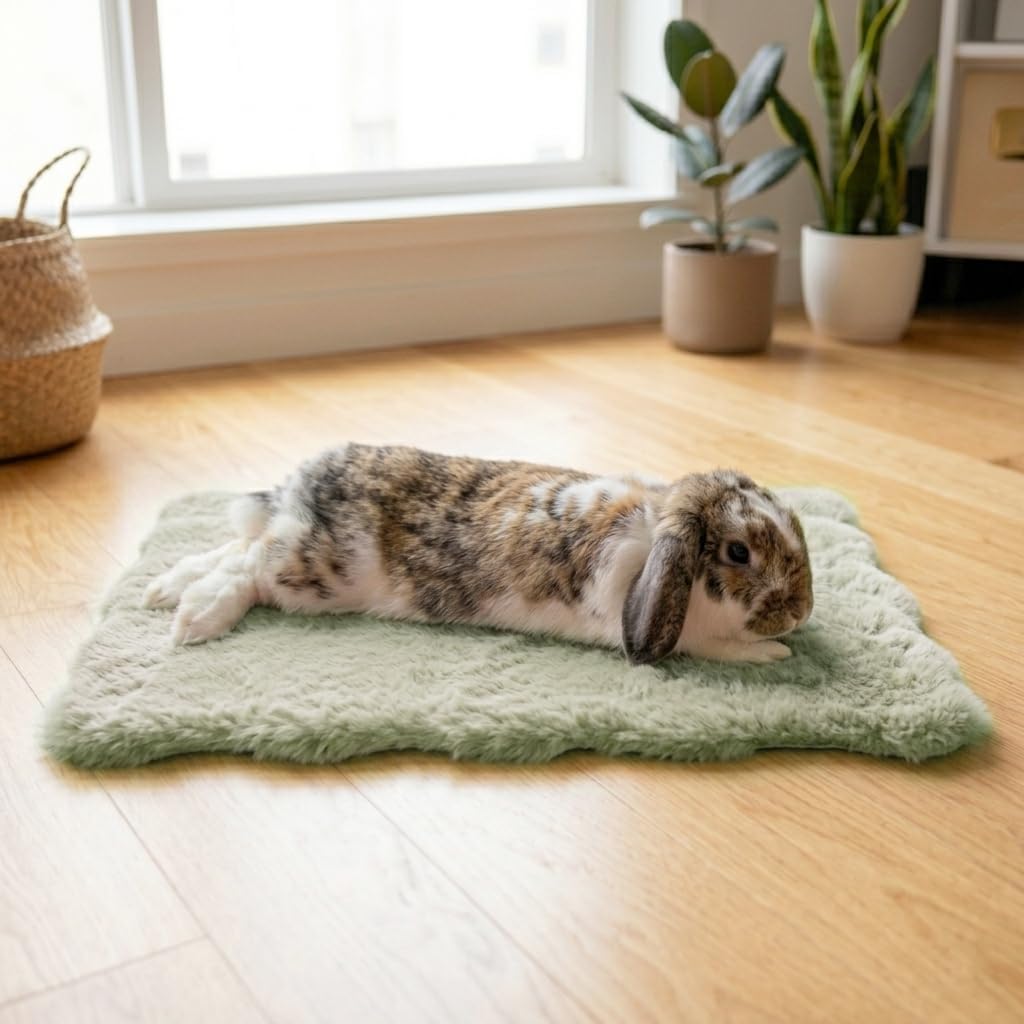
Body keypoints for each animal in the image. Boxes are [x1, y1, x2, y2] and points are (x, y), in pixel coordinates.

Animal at [143, 442, 813, 664]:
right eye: (737, 552)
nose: (801, 610)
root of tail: (302, 484)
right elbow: (719, 647)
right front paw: (773, 653)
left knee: (240, 542)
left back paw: (164, 588)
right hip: (317, 574)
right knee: (249, 567)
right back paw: (196, 617)